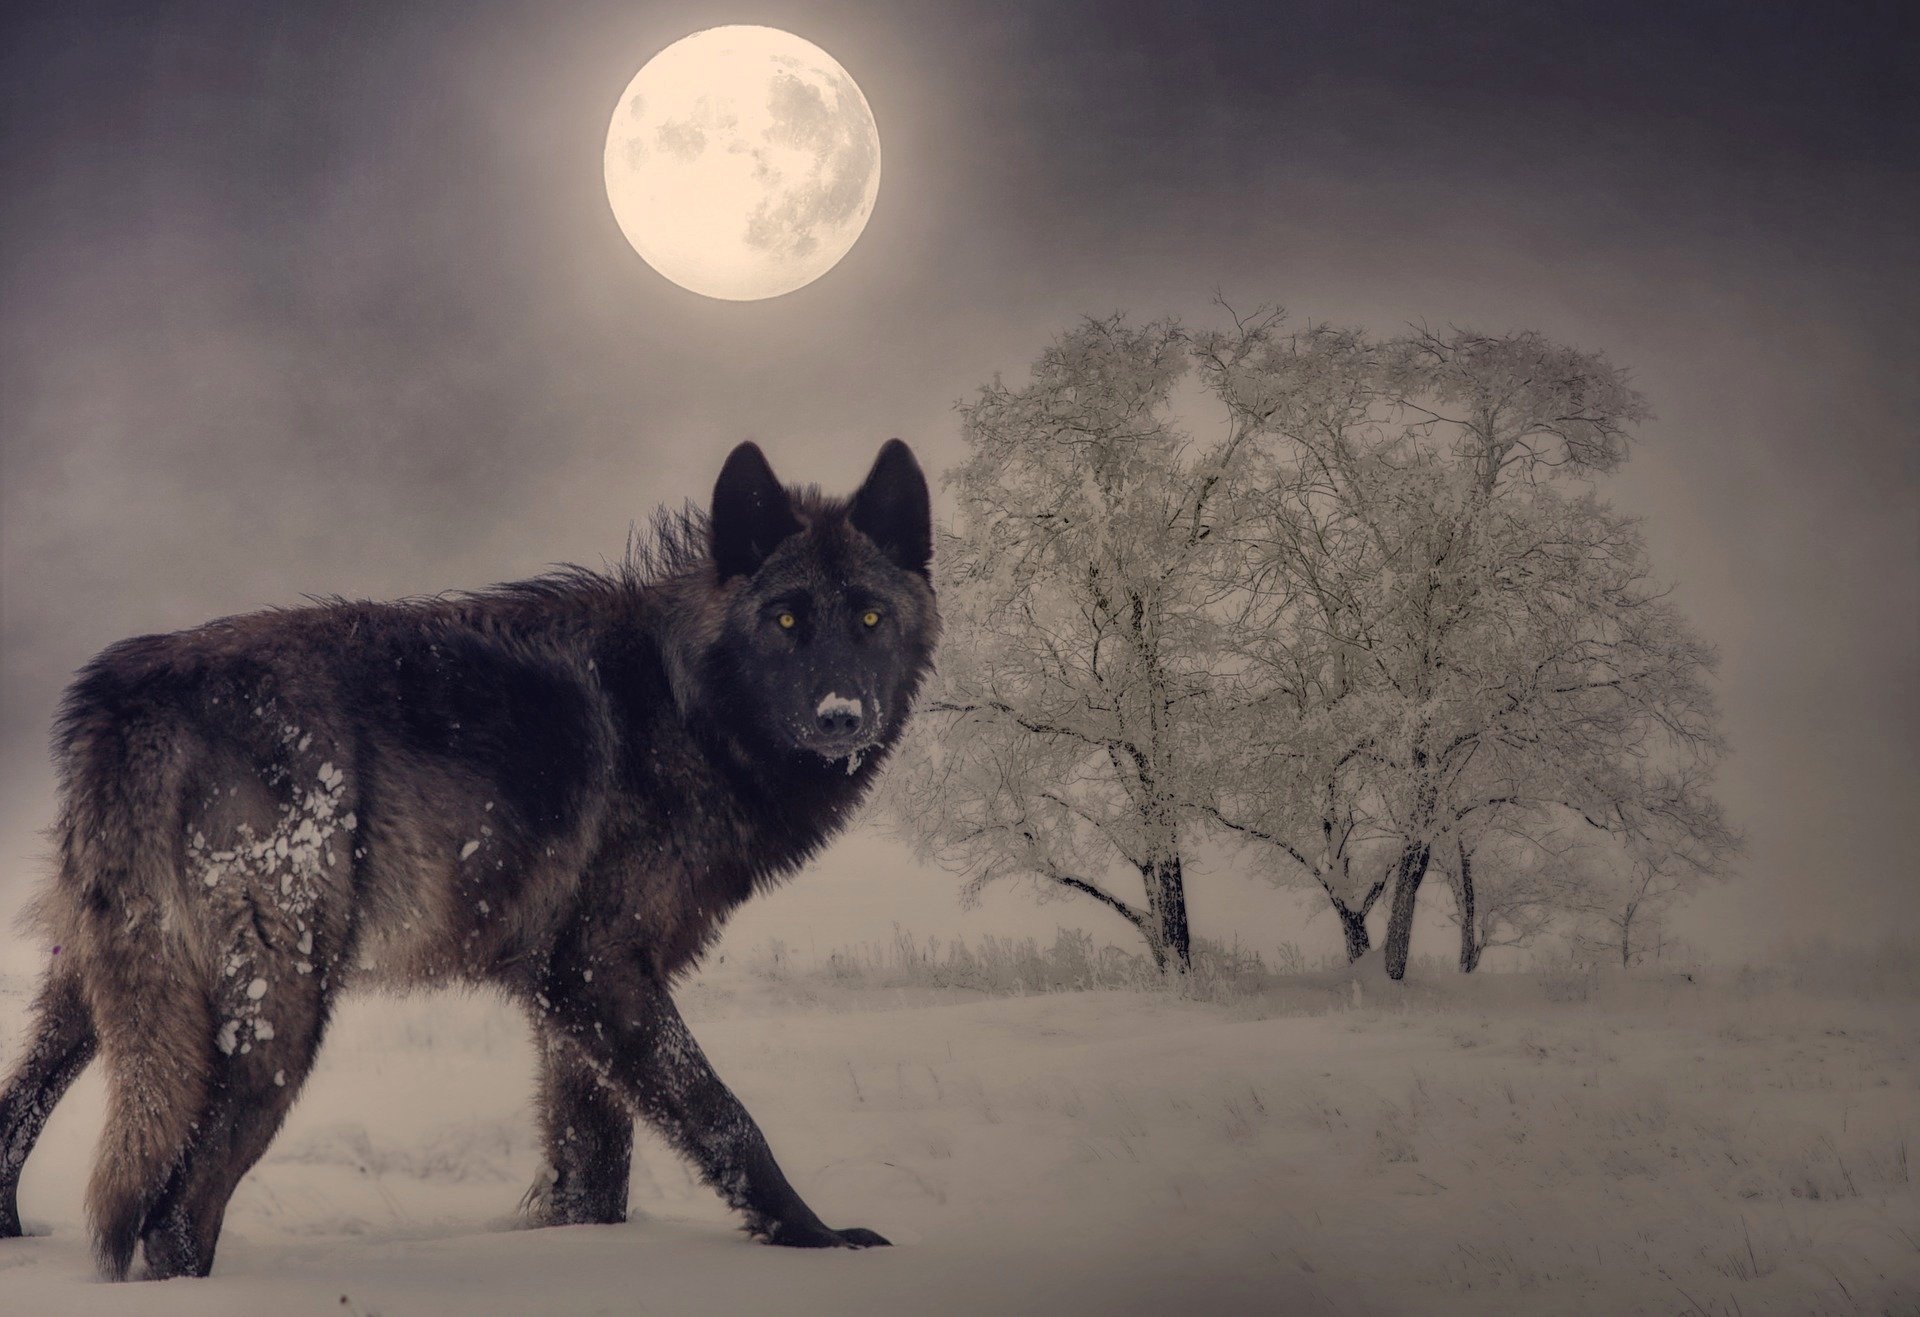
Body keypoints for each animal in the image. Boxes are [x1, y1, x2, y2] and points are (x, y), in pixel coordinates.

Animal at [0, 439, 938, 1279]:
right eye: (786, 619)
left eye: (869, 617)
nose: (841, 715)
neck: (684, 704)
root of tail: (132, 693)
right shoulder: (599, 970)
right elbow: (725, 1117)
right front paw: (820, 1240)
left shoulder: (567, 1002)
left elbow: (594, 1167)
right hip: (279, 1016)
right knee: (174, 1214)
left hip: (99, 992)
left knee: (18, 1114)